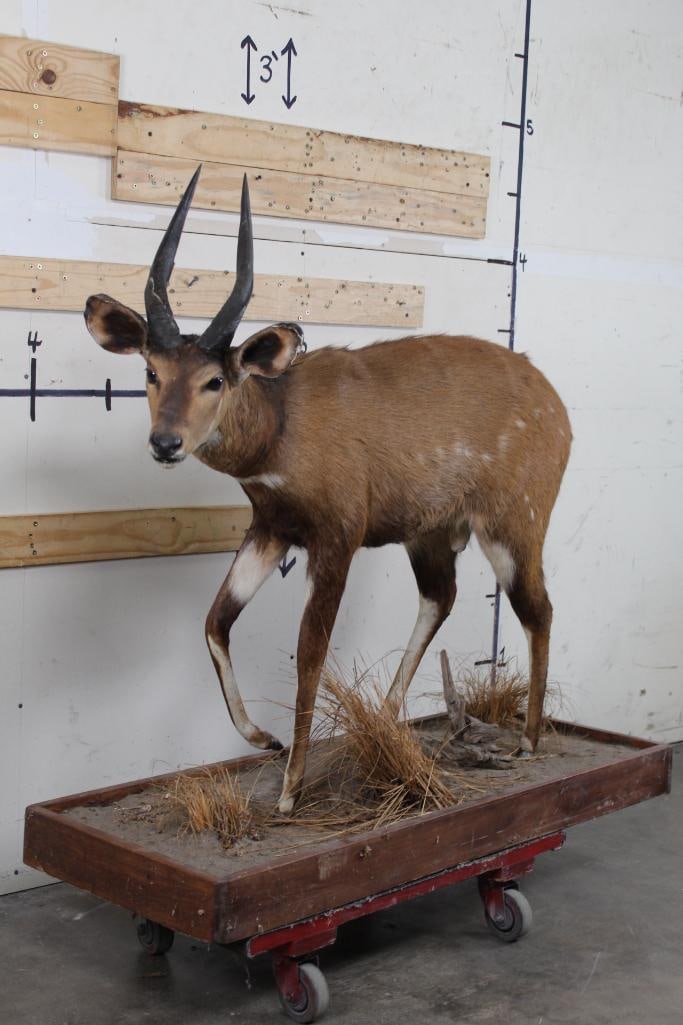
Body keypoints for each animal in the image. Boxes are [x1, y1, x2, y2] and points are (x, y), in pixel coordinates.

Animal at [85, 167, 571, 814]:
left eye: (215, 379)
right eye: (150, 371)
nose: (165, 443)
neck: (281, 430)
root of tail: (560, 411)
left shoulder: (338, 535)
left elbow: (309, 652)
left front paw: (290, 791)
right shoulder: (272, 527)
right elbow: (215, 621)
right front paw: (263, 740)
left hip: (513, 521)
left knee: (536, 607)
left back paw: (528, 741)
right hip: (430, 532)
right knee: (440, 596)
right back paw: (388, 719)